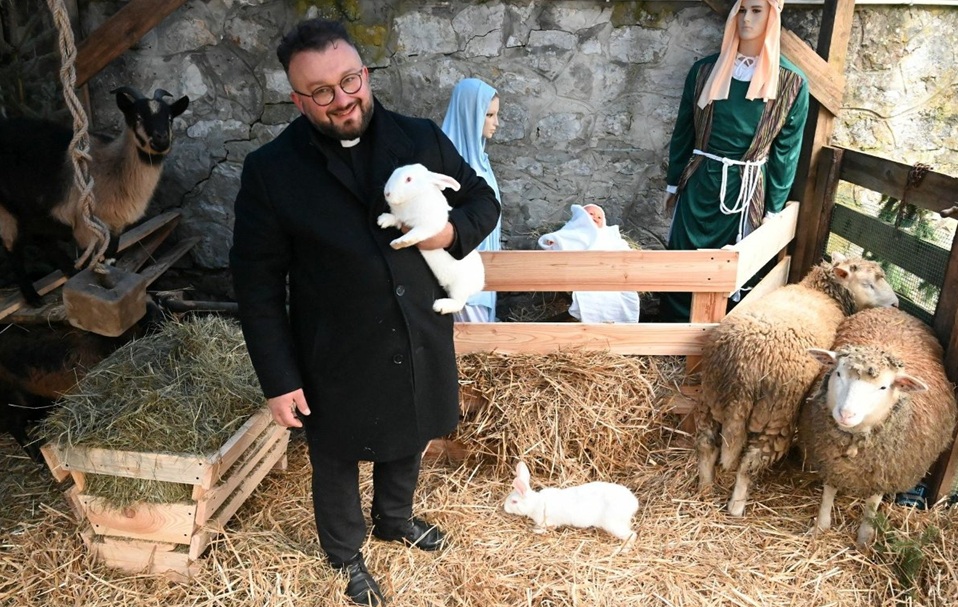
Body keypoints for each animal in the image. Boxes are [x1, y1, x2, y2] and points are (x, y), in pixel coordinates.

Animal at [0, 87, 189, 306]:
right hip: (6, 210)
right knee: (12, 249)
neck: (114, 170)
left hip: (34, 211)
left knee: (41, 239)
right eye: (138, 116)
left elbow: (110, 257)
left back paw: (68, 271)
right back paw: (33, 298)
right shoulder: (85, 226)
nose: (161, 139)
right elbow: (95, 259)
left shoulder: (115, 225)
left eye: (170, 118)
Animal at [379, 163, 485, 315]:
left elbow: (415, 234)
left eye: (409, 179)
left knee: (458, 303)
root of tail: (480, 284)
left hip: (459, 286)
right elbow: (396, 219)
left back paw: (440, 306)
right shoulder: (402, 220)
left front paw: (398, 243)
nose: (387, 193)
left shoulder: (429, 226)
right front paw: (383, 220)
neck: (415, 197)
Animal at [503, 461, 639, 548]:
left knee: (632, 535)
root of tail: (633, 503)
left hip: (613, 524)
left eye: (514, 501)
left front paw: (534, 530)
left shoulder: (546, 521)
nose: (504, 508)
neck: (535, 503)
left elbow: (544, 528)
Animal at [695, 253, 899, 517]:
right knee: (749, 464)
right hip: (778, 414)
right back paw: (736, 507)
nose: (896, 305)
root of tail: (743, 366)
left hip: (710, 397)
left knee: (706, 444)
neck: (820, 292)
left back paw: (705, 488)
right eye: (867, 284)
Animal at [797, 307, 958, 549]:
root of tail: (897, 311)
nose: (846, 414)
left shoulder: (885, 470)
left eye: (883, 387)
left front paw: (864, 539)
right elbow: (828, 493)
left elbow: (872, 504)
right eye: (838, 374)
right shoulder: (830, 459)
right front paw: (821, 526)